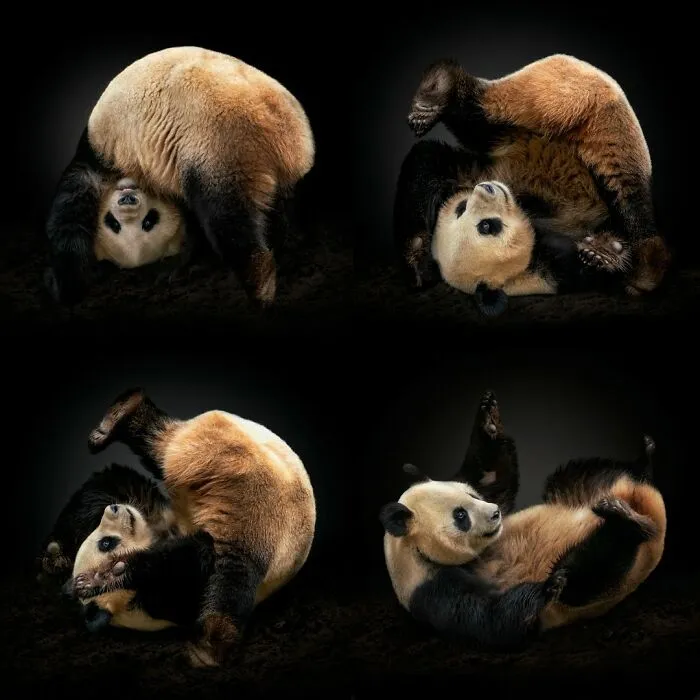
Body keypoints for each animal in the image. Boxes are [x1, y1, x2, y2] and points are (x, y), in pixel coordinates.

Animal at [44, 46, 315, 308]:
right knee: (282, 209)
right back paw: (288, 247)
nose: (127, 196)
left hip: (224, 147)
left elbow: (71, 211)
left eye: (148, 222)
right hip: (283, 167)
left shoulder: (106, 154)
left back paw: (260, 287)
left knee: (228, 218)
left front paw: (65, 285)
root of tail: (280, 127)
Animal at [379, 390, 667, 648]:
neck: (413, 550)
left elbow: (492, 477)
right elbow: (491, 620)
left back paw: (644, 460)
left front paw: (488, 420)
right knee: (593, 570)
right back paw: (626, 524)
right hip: (601, 587)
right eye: (460, 515)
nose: (495, 513)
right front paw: (547, 586)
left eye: (471, 495)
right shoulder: (430, 587)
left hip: (586, 486)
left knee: (595, 475)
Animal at [394, 54, 671, 317]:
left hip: (577, 116)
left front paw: (604, 254)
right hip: (510, 144)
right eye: (464, 210)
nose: (489, 190)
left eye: (486, 225)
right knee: (445, 144)